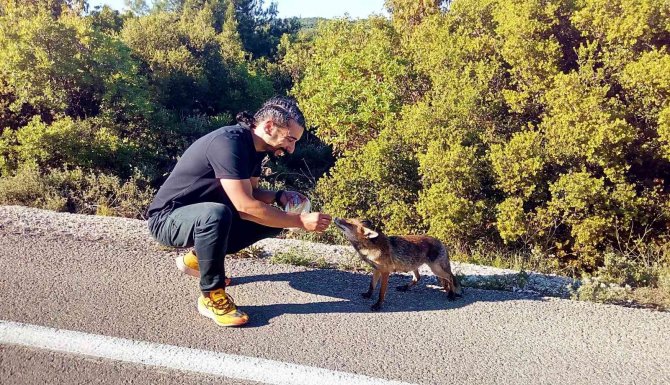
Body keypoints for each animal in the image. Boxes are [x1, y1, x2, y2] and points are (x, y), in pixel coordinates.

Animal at [334, 218, 462, 310]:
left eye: (349, 223)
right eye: (347, 219)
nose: (335, 218)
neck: (371, 248)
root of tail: (441, 242)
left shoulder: (385, 272)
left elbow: (381, 292)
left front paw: (378, 305)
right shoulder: (376, 270)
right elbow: (371, 286)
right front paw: (368, 295)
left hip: (436, 269)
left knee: (451, 277)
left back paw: (452, 294)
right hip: (413, 265)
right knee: (418, 278)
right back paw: (404, 287)